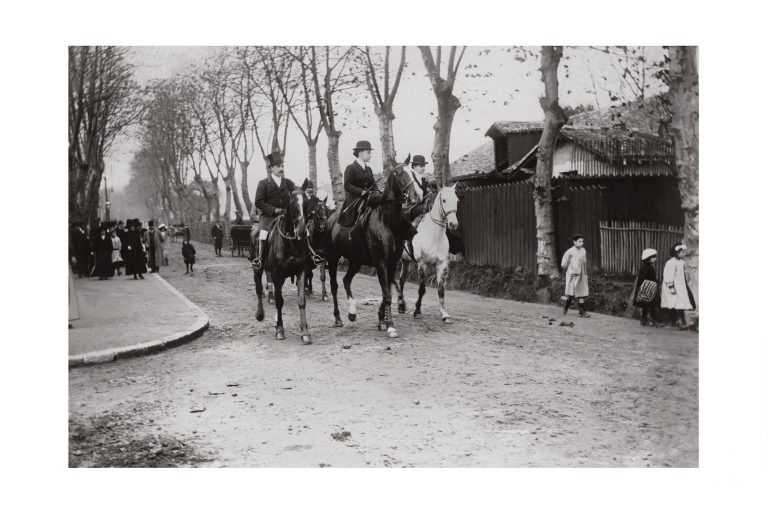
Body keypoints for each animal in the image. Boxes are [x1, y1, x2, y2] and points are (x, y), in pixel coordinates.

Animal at [254, 189, 310, 344]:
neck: (291, 244)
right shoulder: (277, 274)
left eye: (307, 201)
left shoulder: (301, 271)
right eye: (292, 203)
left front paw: (305, 331)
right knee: (258, 288)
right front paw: (279, 329)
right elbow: (279, 301)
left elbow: (301, 301)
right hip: (258, 268)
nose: (302, 231)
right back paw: (260, 314)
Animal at [322, 158, 424, 338]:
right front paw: (390, 326)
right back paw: (338, 318)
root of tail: (331, 219)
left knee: (346, 280)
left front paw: (381, 320)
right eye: (399, 173)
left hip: (356, 261)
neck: (387, 221)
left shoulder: (392, 263)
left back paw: (352, 313)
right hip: (333, 259)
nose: (415, 196)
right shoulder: (381, 262)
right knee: (334, 286)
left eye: (412, 172)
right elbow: (387, 294)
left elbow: (387, 290)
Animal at [392, 182, 460, 322]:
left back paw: (401, 306)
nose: (453, 224)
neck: (433, 235)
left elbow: (441, 289)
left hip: (405, 260)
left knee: (401, 280)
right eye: (444, 200)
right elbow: (422, 289)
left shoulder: (441, 265)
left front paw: (444, 314)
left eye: (457, 200)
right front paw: (417, 311)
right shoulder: (422, 264)